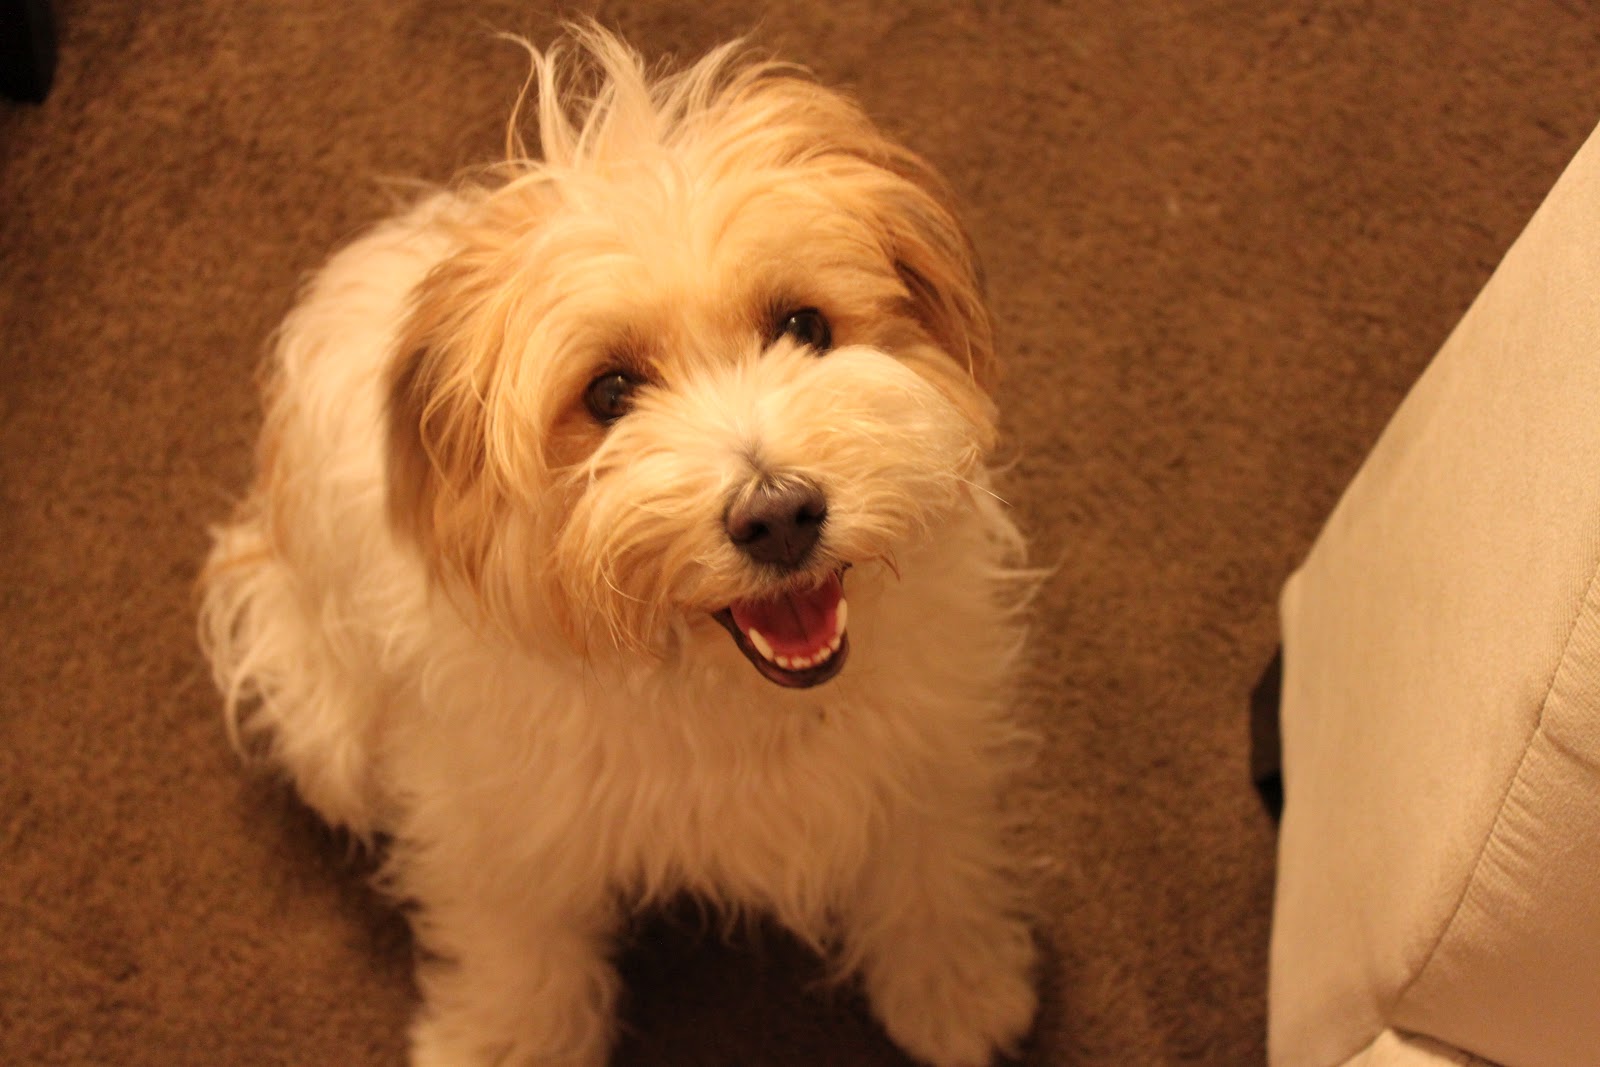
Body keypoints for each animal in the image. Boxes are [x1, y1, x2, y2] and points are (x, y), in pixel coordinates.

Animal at [199, 24, 1037, 1067]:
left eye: (804, 325)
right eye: (608, 394)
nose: (778, 513)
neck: (730, 693)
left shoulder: (930, 755)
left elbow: (933, 874)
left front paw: (957, 989)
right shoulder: (499, 826)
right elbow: (520, 950)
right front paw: (504, 1044)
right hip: (317, 702)